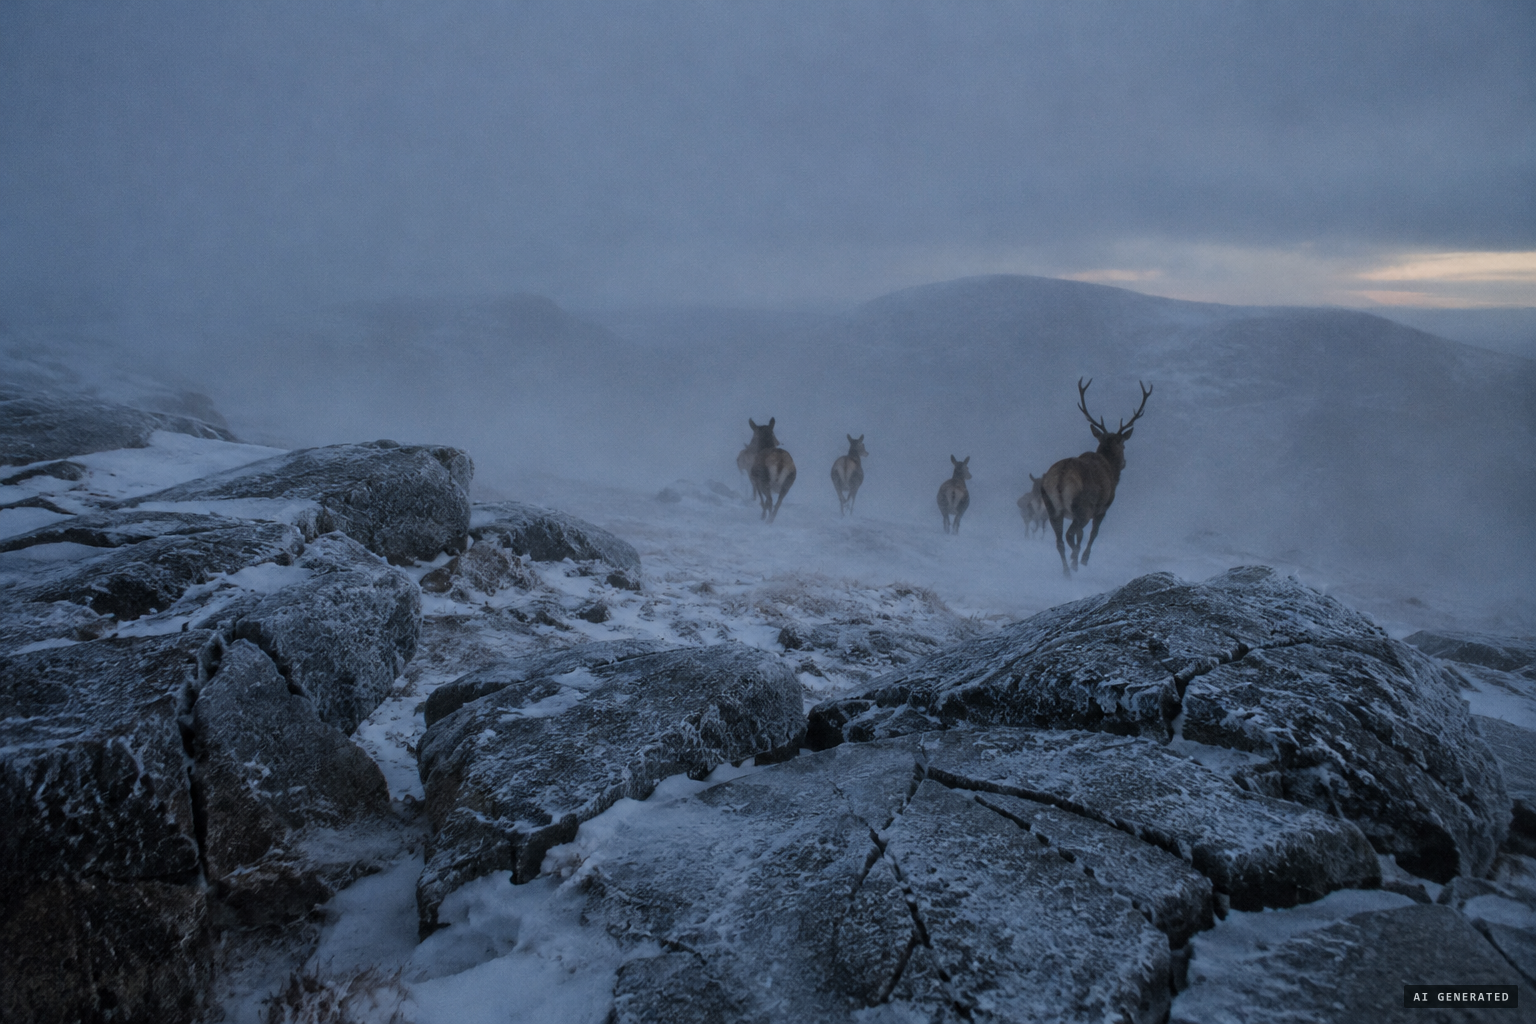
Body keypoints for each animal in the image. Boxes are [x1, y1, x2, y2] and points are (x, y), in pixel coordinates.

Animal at [1040, 378, 1152, 576]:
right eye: (1123, 446)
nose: (1124, 463)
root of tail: (1060, 477)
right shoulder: (1104, 507)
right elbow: (1094, 533)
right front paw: (1084, 560)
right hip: (1083, 507)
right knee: (1071, 534)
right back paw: (1075, 561)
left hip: (1052, 507)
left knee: (1060, 541)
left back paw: (1067, 572)